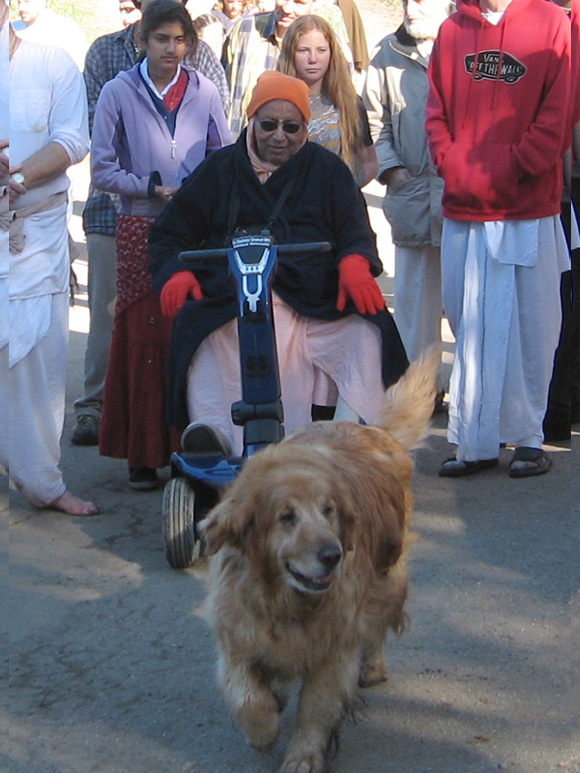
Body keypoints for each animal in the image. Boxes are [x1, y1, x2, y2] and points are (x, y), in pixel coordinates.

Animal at [197, 352, 438, 772]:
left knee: (377, 625)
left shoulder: (333, 648)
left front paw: (304, 756)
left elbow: (315, 708)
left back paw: (372, 665)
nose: (332, 555)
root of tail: (374, 431)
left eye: (329, 511)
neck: (285, 603)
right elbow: (248, 698)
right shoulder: (236, 635)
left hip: (389, 578)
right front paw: (263, 728)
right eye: (286, 517)